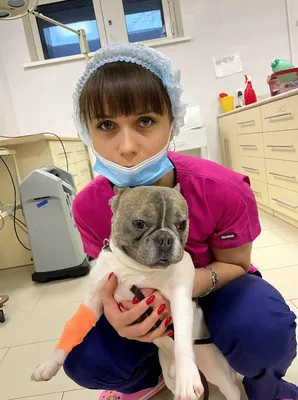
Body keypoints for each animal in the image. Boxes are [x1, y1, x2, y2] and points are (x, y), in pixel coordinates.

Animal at [30, 186, 240, 398]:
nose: (165, 238)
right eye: (139, 223)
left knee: (234, 390)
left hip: (218, 371)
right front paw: (50, 364)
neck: (137, 269)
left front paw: (187, 378)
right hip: (170, 376)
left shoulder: (180, 298)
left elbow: (181, 338)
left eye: (182, 225)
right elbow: (74, 328)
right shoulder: (94, 299)